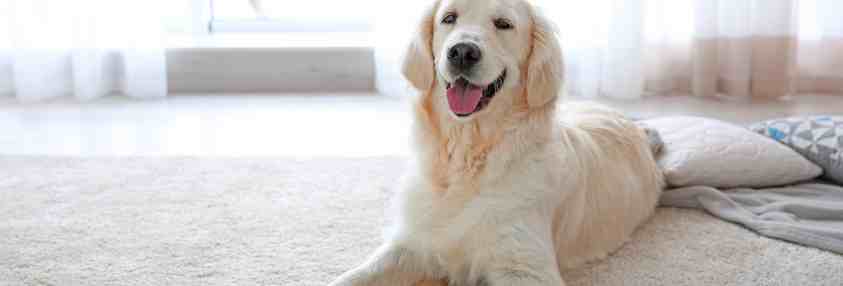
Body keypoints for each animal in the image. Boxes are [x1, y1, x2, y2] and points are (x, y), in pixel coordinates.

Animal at [330, 0, 664, 286]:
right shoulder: (414, 243)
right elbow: (351, 277)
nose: (462, 52)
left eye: (503, 24)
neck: (467, 155)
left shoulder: (525, 266)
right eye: (449, 18)